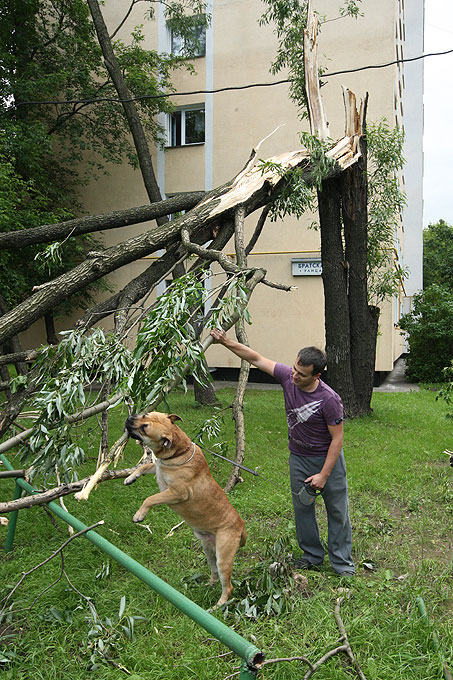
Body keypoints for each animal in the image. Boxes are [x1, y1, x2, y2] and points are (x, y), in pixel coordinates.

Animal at [123, 412, 245, 608]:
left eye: (144, 428)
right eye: (144, 415)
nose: (130, 418)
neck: (178, 452)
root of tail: (241, 525)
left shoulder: (177, 493)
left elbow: (150, 498)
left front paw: (139, 514)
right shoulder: (157, 469)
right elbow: (144, 466)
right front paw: (130, 477)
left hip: (223, 558)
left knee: (227, 587)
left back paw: (217, 606)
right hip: (209, 551)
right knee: (214, 573)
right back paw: (209, 585)